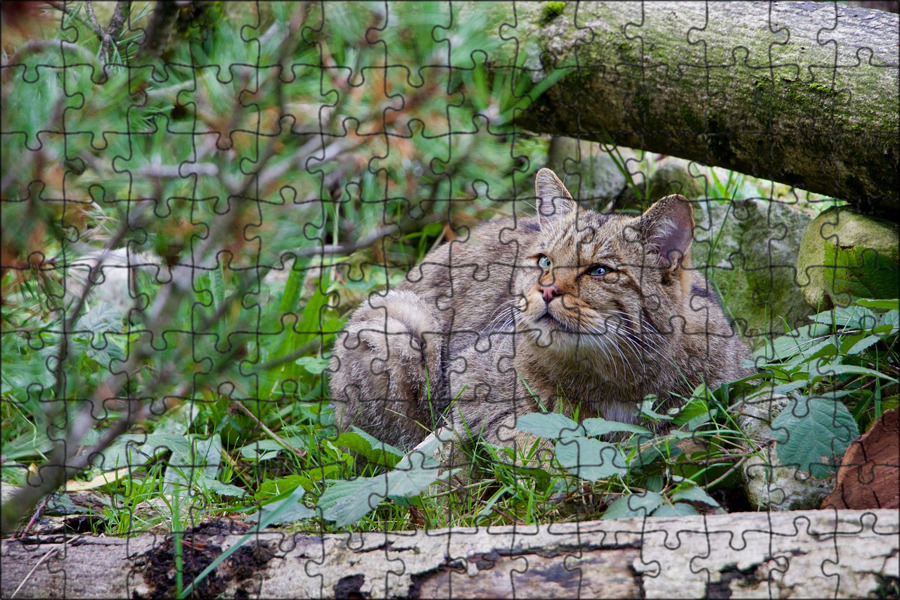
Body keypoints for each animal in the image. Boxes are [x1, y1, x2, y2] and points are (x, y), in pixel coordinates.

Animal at [330, 166, 752, 452]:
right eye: (544, 261)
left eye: (599, 270)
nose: (546, 290)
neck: (615, 379)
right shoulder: (470, 384)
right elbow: (525, 436)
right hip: (398, 321)